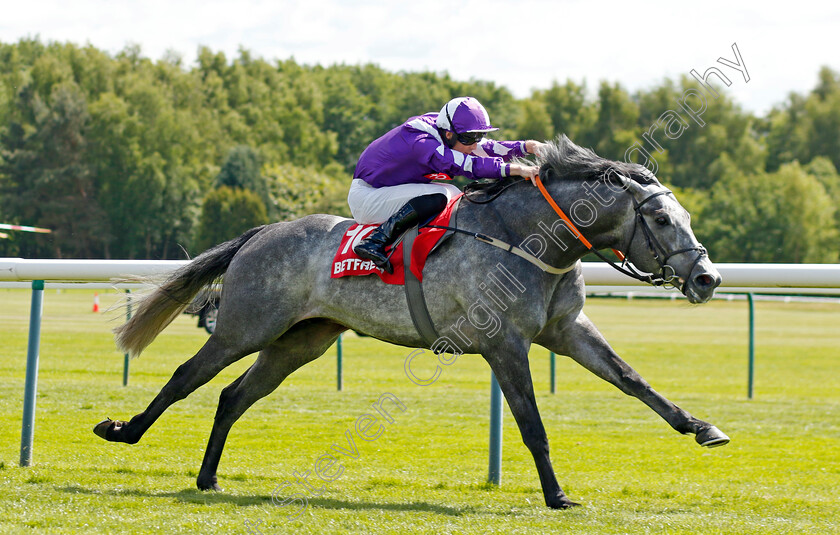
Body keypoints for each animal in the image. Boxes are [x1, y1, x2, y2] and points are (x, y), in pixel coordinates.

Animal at [93, 137, 728, 510]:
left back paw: (208, 478)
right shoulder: (506, 343)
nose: (707, 279)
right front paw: (556, 494)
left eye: (684, 216)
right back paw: (124, 430)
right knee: (186, 377)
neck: (525, 237)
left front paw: (701, 427)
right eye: (663, 220)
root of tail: (263, 231)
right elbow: (531, 424)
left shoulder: (567, 330)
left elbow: (632, 380)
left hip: (303, 340)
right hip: (245, 326)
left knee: (233, 395)